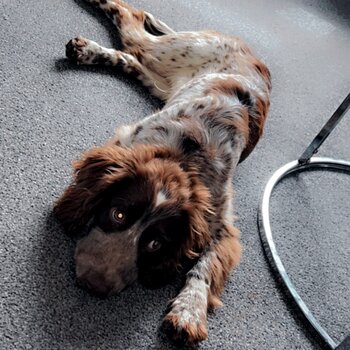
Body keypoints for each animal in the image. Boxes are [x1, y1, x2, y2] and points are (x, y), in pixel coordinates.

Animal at [54, 0, 270, 344]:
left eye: (155, 244)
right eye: (117, 214)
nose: (95, 285)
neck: (187, 154)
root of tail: (252, 53)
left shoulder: (221, 220)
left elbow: (204, 267)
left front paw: (189, 312)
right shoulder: (126, 141)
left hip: (159, 78)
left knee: (131, 55)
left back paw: (89, 52)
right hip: (171, 50)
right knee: (132, 19)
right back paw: (89, 34)